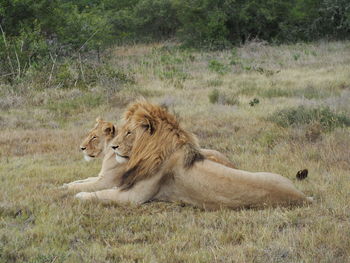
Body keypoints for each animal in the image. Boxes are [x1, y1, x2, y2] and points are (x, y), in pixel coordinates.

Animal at [64, 117, 237, 192]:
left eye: (94, 137)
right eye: (89, 134)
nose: (81, 148)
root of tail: (232, 165)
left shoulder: (106, 182)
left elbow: (83, 186)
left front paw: (63, 189)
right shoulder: (101, 177)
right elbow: (83, 180)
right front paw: (66, 184)